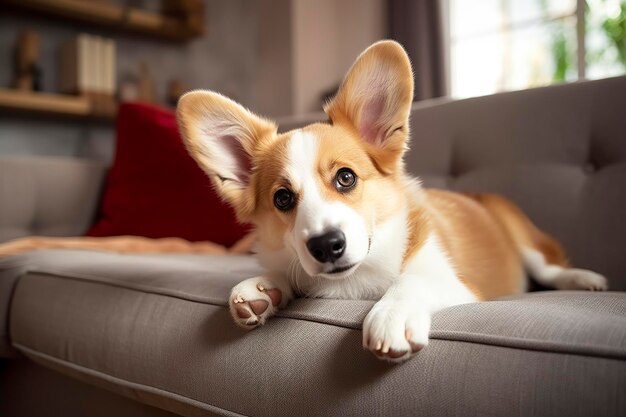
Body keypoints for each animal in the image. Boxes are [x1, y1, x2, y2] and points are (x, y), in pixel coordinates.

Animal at [176, 41, 604, 360]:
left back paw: (586, 279)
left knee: (549, 267)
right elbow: (283, 272)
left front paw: (391, 315)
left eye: (346, 178)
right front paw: (261, 288)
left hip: (522, 237)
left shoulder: (456, 284)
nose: (326, 246)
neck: (355, 281)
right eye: (283, 198)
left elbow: (411, 280)